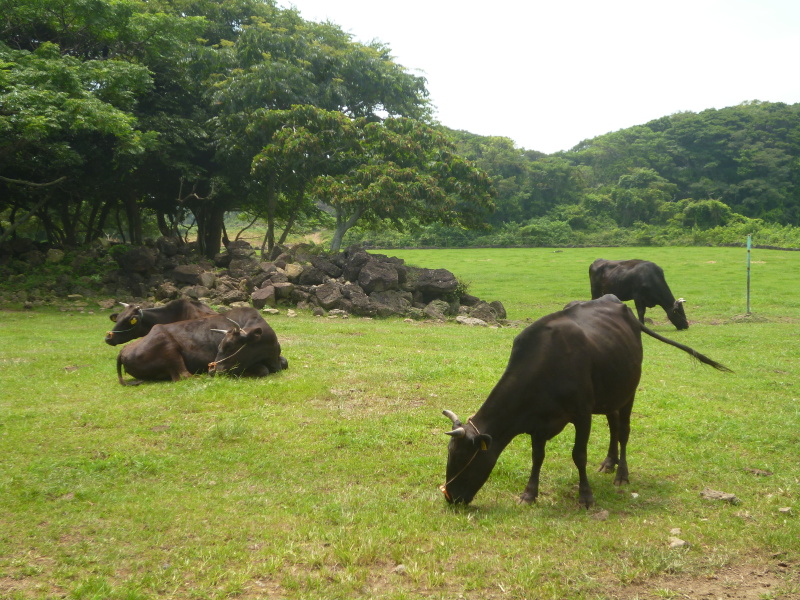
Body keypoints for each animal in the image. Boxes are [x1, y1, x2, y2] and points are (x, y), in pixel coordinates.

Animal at [115, 308, 284, 386]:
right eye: (222, 344)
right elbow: (263, 370)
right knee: (184, 375)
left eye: (229, 345)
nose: (212, 369)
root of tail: (123, 350)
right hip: (169, 349)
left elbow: (284, 363)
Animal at [438, 294, 732, 506]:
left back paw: (621, 474)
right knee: (613, 426)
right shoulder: (538, 422)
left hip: (628, 392)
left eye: (464, 457)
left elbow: (579, 455)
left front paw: (586, 496)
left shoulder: (582, 414)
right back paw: (609, 462)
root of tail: (620, 305)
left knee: (623, 431)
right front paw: (529, 494)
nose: (450, 497)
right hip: (610, 395)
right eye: (450, 454)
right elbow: (537, 456)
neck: (544, 363)